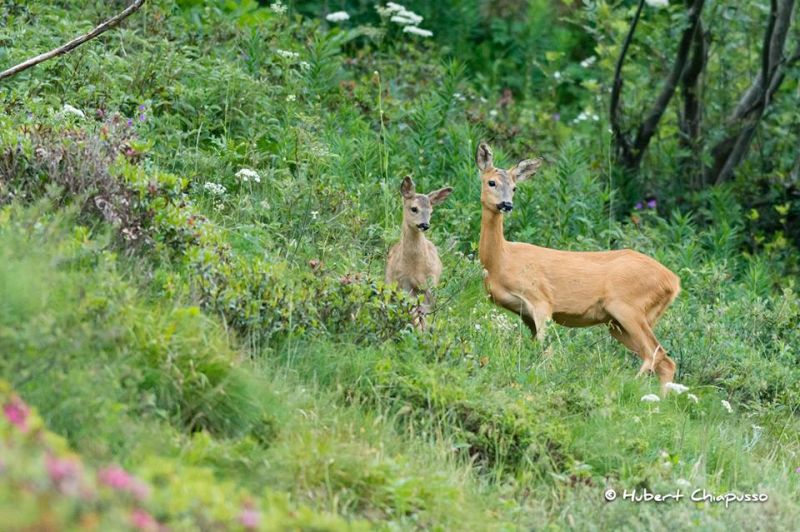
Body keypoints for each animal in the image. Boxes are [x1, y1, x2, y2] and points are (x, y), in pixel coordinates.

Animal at [386, 177, 454, 330]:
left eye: (431, 211)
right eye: (414, 208)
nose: (425, 225)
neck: (416, 266)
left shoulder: (431, 282)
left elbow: (426, 313)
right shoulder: (404, 283)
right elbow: (414, 313)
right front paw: (418, 332)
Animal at [476, 141, 680, 390]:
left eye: (514, 188)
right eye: (491, 182)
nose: (506, 204)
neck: (502, 260)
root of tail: (674, 281)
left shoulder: (541, 300)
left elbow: (546, 350)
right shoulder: (524, 313)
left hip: (628, 307)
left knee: (654, 354)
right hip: (619, 323)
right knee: (665, 361)